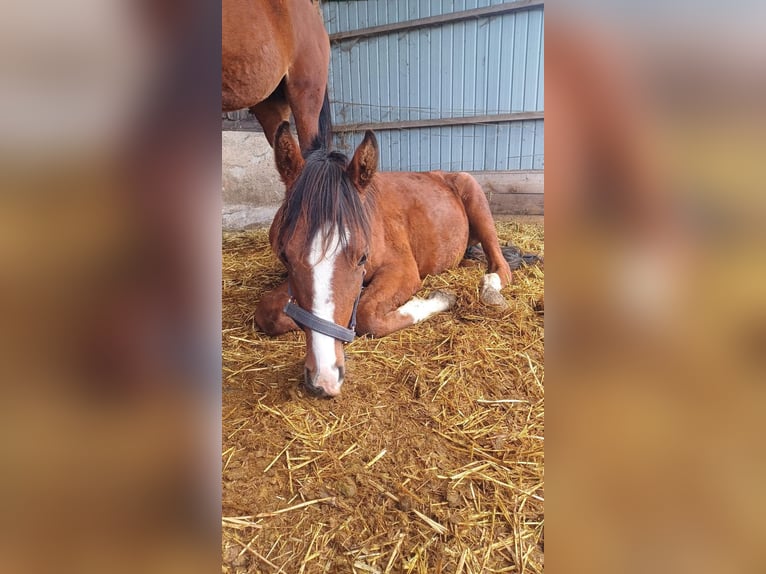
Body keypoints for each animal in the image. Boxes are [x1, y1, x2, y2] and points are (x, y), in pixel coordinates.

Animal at [254, 122, 513, 397]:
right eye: (285, 256)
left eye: (362, 257)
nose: (324, 379)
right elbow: (268, 311)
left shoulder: (403, 270)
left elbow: (368, 316)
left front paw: (440, 298)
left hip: (477, 202)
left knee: (501, 266)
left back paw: (490, 290)